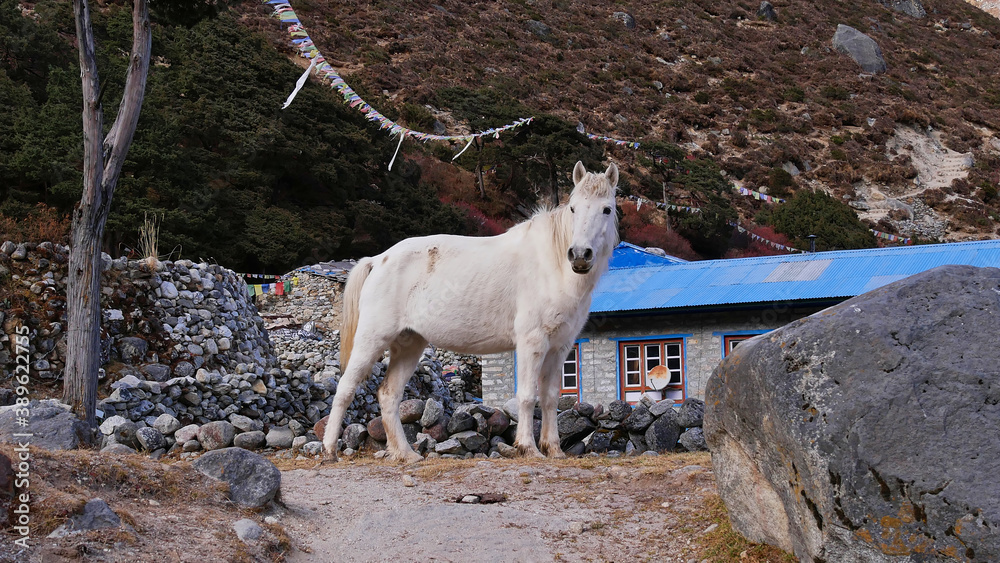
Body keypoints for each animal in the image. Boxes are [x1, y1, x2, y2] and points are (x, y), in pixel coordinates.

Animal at [323, 161, 619, 463]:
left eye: (606, 209)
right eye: (573, 208)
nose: (580, 255)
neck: (552, 265)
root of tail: (378, 260)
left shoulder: (560, 347)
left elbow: (550, 398)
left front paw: (554, 449)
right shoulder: (532, 342)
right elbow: (527, 396)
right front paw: (529, 448)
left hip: (409, 344)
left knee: (388, 395)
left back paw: (406, 454)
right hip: (371, 340)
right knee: (345, 389)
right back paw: (330, 449)